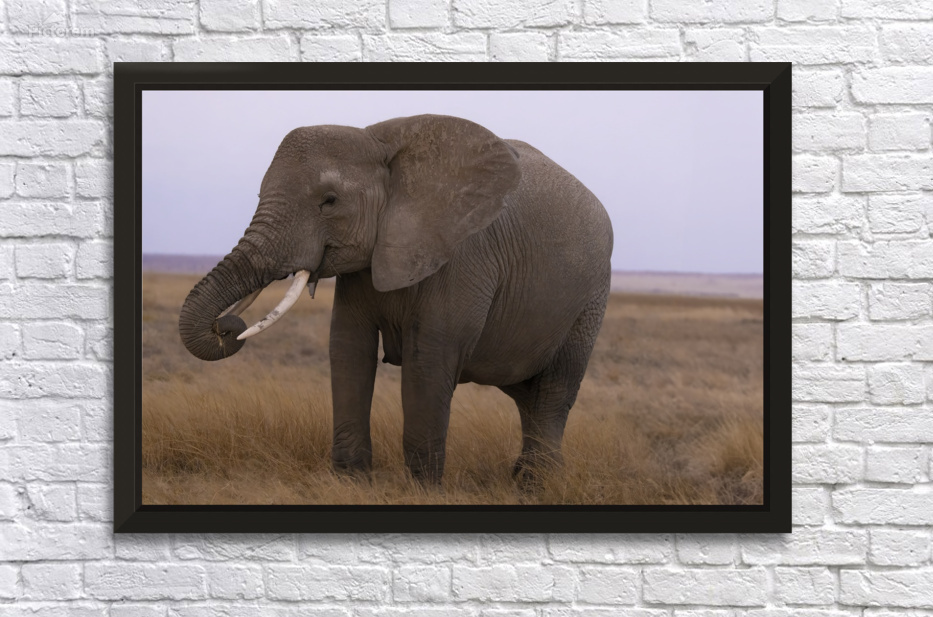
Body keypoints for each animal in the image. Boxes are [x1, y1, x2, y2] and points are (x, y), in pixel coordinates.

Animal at [178, 114, 613, 485]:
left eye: (329, 200)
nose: (226, 326)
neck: (379, 140)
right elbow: (347, 347)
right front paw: (351, 481)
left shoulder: (463, 255)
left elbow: (429, 359)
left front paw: (423, 488)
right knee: (527, 394)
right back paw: (528, 478)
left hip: (591, 298)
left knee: (555, 391)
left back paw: (536, 485)